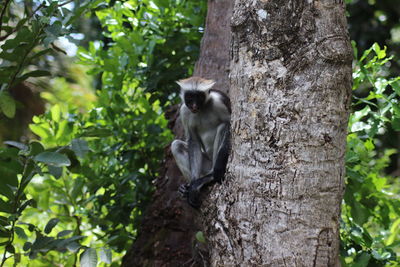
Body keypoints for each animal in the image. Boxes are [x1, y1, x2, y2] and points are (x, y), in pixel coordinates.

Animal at [170, 76, 230, 208]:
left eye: (198, 97)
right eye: (190, 97)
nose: (194, 105)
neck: (202, 109)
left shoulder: (218, 101)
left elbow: (230, 124)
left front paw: (218, 170)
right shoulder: (184, 111)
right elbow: (193, 141)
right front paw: (193, 184)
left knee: (223, 126)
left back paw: (211, 176)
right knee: (176, 145)